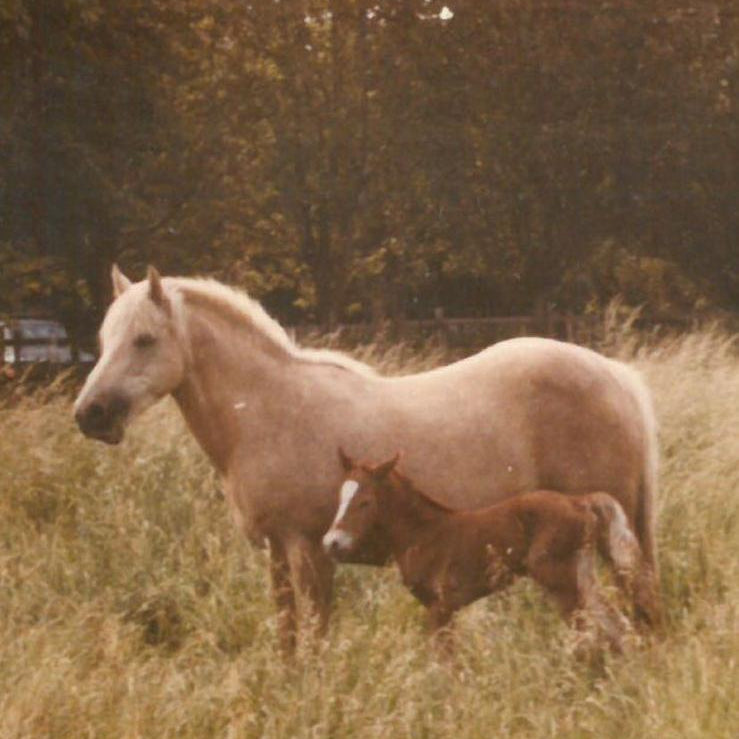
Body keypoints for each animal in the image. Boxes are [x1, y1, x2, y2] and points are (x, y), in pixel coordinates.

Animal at [323, 450, 658, 651]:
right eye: (340, 497)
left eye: (365, 502)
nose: (332, 542)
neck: (424, 533)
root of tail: (580, 502)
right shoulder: (445, 610)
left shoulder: (440, 607)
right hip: (581, 574)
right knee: (617, 624)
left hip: (559, 580)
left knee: (593, 632)